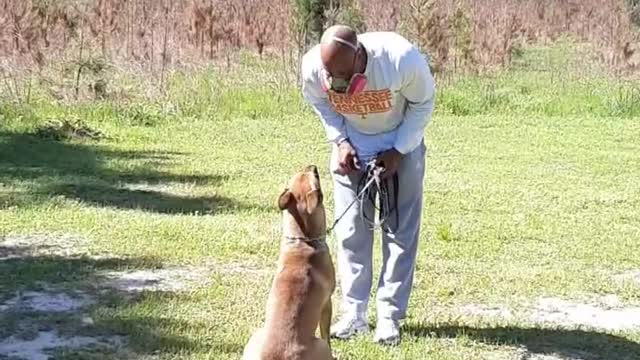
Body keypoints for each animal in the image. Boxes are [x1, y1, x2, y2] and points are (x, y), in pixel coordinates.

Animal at [242, 166, 338, 360]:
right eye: (316, 177)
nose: (313, 166)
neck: (303, 241)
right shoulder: (327, 303)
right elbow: (326, 332)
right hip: (320, 345)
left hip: (256, 334)